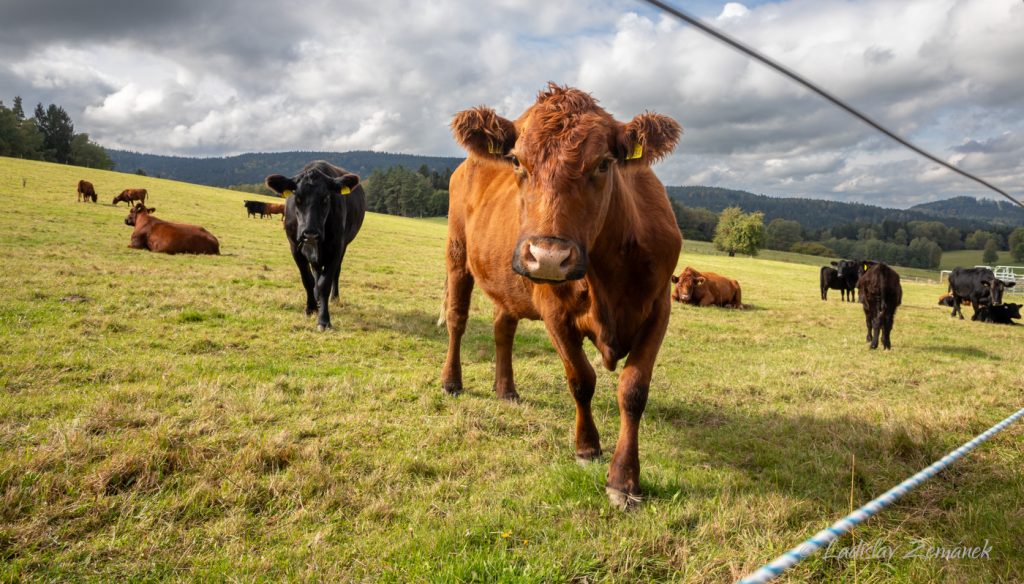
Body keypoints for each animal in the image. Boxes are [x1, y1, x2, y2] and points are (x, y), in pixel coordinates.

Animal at [264, 161, 364, 329]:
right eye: (297, 198)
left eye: (326, 198)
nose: (310, 233)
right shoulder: (294, 247)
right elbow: (308, 280)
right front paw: (310, 308)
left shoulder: (336, 247)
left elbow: (325, 283)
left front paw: (323, 319)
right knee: (316, 271)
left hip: (344, 246)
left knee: (336, 272)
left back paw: (334, 298)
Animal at [438, 84, 679, 506]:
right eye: (516, 160)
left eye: (604, 164)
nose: (548, 257)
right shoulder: (554, 312)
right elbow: (580, 379)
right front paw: (587, 447)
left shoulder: (658, 308)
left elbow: (633, 390)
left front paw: (624, 479)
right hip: (458, 254)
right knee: (457, 319)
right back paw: (452, 382)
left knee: (503, 328)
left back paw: (506, 389)